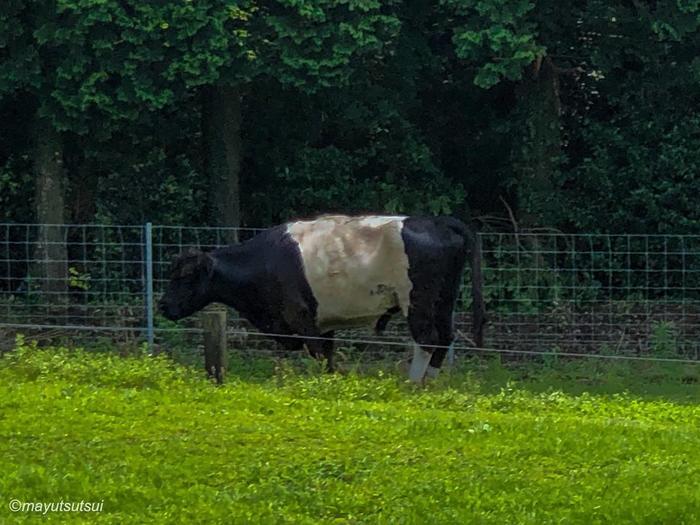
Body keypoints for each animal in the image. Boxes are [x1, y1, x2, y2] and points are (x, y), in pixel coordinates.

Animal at [161, 213, 484, 380]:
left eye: (184, 276)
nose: (162, 304)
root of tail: (436, 221)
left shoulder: (302, 318)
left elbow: (317, 354)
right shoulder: (325, 323)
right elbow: (328, 356)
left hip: (417, 301)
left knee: (427, 338)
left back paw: (412, 383)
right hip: (444, 300)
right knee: (445, 337)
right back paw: (428, 382)